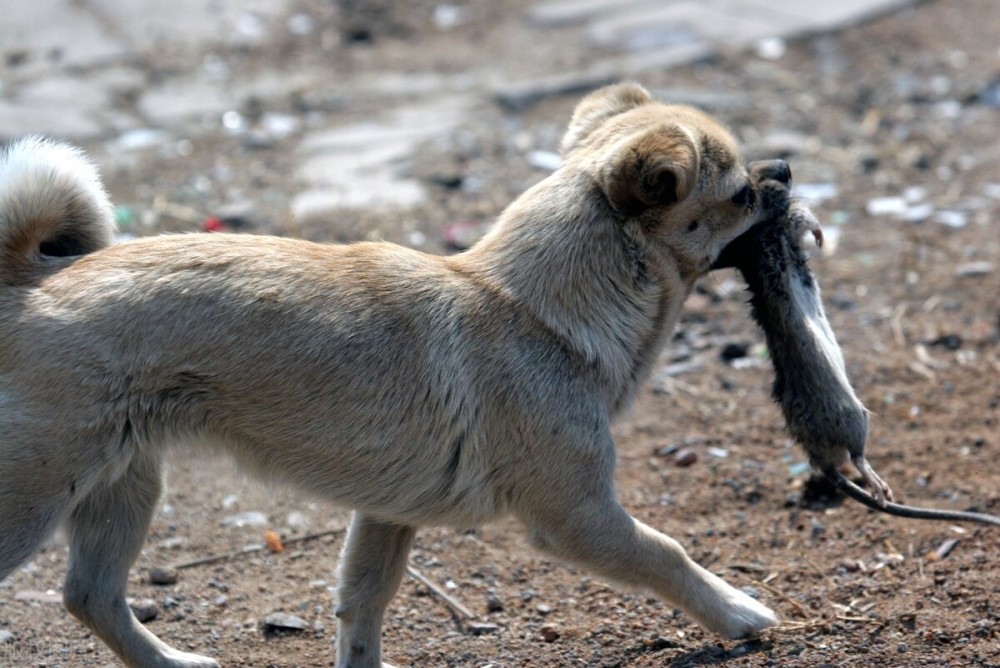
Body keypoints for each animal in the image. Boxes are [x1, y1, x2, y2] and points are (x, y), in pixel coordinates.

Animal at [1, 85, 796, 668]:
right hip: (38, 496)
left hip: (124, 484)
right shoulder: (580, 517)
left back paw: (169, 662)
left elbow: (362, 606)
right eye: (740, 193)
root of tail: (26, 283)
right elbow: (666, 552)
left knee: (91, 595)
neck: (534, 310)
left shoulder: (386, 518)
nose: (786, 171)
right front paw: (737, 612)